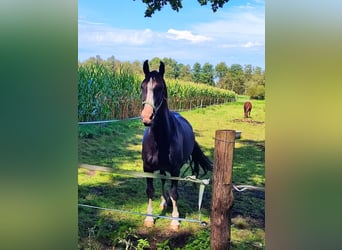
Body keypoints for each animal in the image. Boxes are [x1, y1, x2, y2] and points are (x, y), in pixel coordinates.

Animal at [140, 59, 212, 229]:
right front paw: (149, 218)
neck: (159, 140)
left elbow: (174, 194)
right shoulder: (147, 168)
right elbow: (150, 190)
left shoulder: (175, 170)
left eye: (160, 88)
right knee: (162, 180)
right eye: (142, 86)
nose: (146, 117)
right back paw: (163, 202)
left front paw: (174, 220)